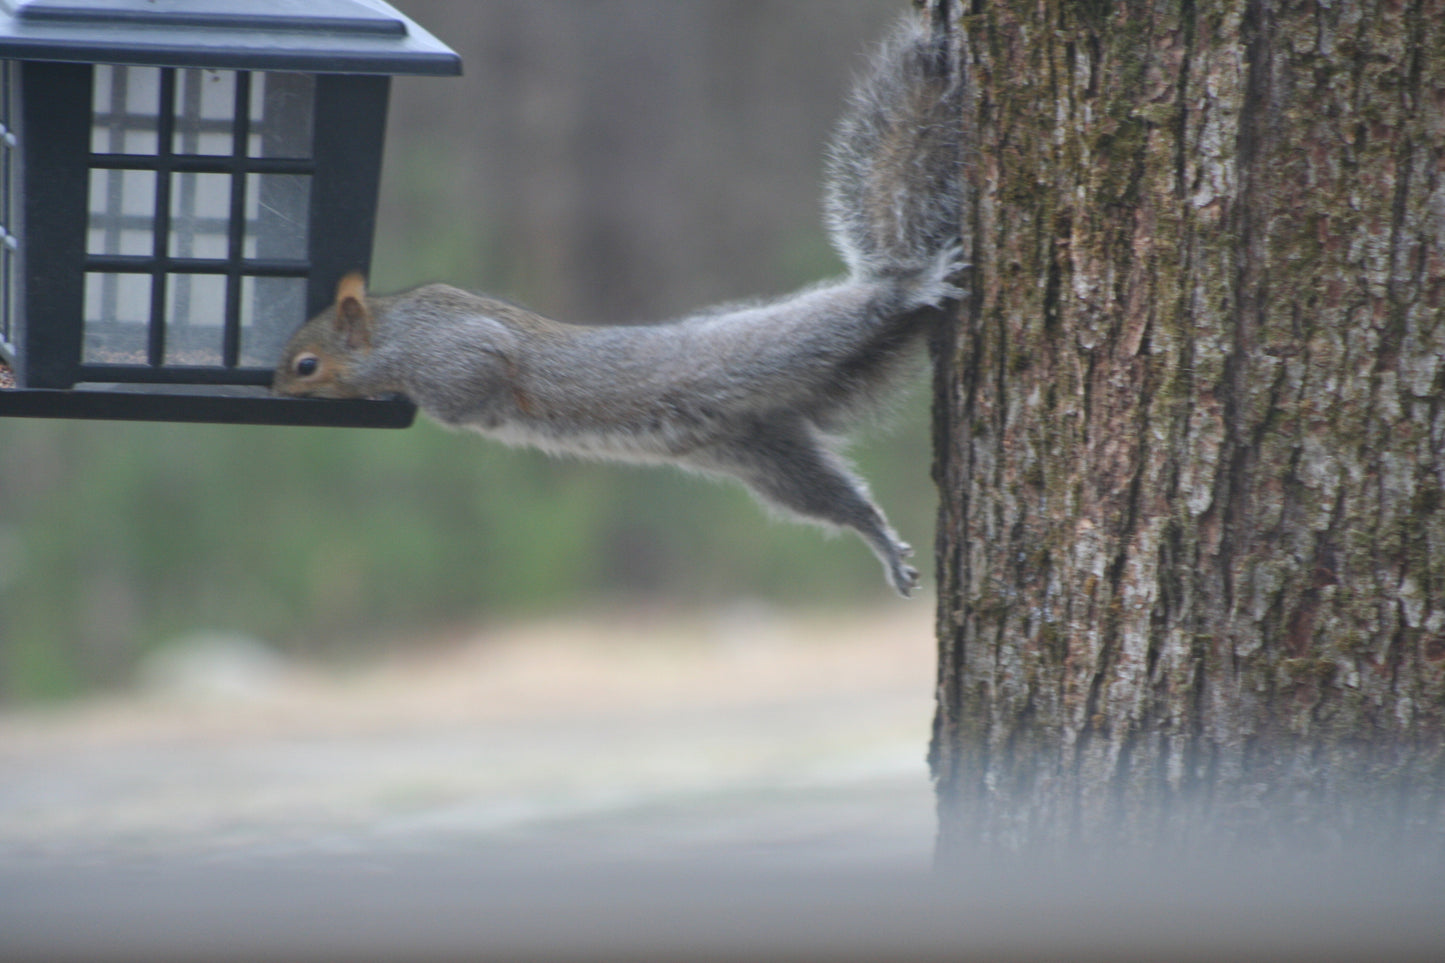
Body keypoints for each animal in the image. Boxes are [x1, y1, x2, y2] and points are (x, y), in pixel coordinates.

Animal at [273, 0, 965, 597]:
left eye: (307, 365)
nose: (275, 389)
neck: (395, 332)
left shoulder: (455, 354)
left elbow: (472, 385)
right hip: (766, 456)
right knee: (834, 500)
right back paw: (882, 543)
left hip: (773, 350)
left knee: (848, 317)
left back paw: (909, 287)